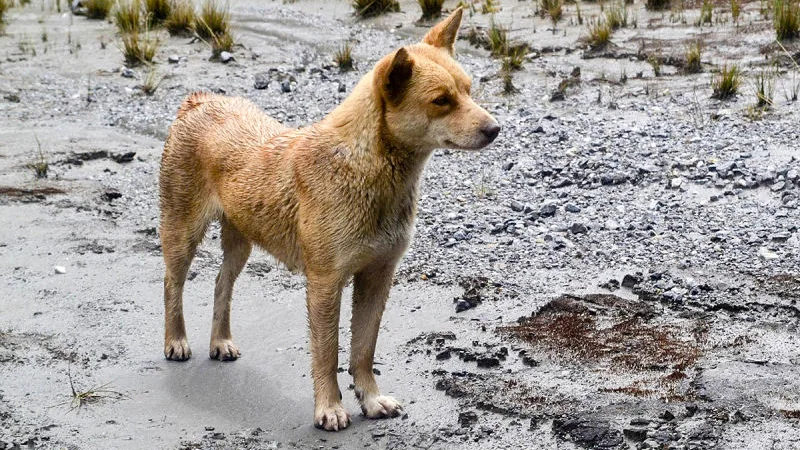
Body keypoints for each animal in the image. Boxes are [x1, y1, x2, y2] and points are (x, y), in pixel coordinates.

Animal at [158, 5, 500, 430]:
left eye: (468, 89)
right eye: (441, 100)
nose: (495, 129)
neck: (367, 169)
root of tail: (199, 100)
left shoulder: (378, 276)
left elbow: (363, 350)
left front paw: (370, 399)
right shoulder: (325, 282)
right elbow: (328, 353)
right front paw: (329, 407)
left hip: (241, 240)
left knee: (222, 284)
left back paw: (219, 341)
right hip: (181, 232)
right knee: (172, 285)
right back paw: (176, 340)